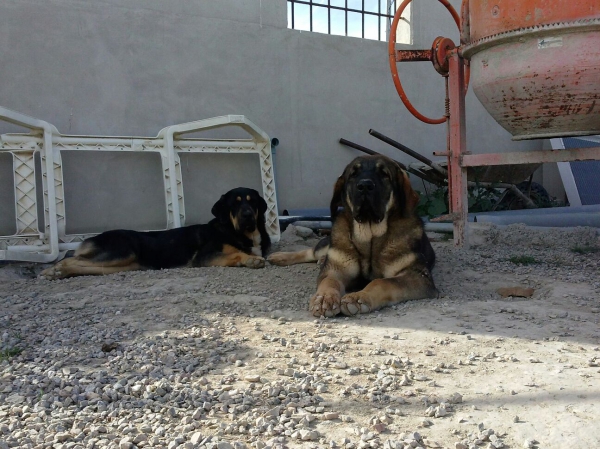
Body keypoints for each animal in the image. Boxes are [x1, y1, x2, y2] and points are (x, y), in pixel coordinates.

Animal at [39, 186, 270, 278]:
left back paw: (59, 273)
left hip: (122, 264)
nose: (248, 215)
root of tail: (93, 237)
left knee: (82, 266)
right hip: (122, 251)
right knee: (69, 259)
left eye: (252, 202)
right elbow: (236, 254)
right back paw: (52, 270)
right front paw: (251, 260)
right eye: (235, 204)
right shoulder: (205, 256)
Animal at [270, 156, 438, 316]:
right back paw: (280, 256)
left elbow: (382, 282)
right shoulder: (336, 269)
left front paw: (359, 297)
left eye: (384, 174)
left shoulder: (417, 276)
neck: (370, 235)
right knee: (312, 251)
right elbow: (329, 281)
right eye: (353, 174)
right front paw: (324, 298)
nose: (365, 186)